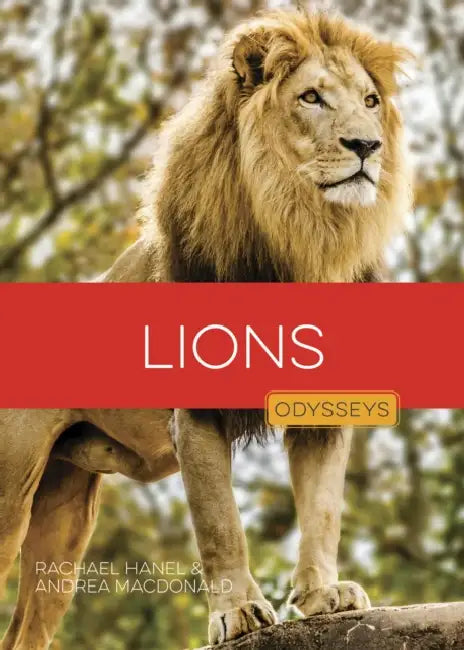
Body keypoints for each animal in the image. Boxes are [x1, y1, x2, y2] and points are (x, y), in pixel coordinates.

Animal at [0, 8, 412, 648]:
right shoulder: (194, 414)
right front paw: (238, 610)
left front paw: (322, 596)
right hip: (9, 499)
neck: (300, 235)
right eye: (311, 97)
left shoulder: (323, 410)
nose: (367, 145)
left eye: (371, 101)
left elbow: (322, 509)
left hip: (62, 516)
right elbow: (221, 520)